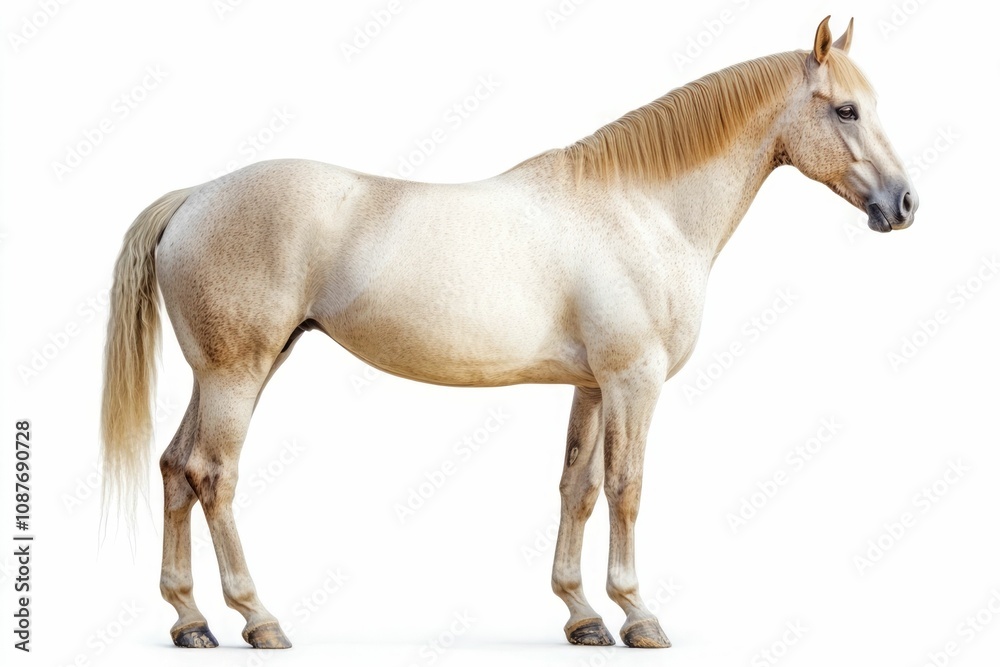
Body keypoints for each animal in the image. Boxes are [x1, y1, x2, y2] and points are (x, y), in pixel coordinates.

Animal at [100, 16, 917, 650]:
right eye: (846, 110)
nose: (904, 204)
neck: (639, 210)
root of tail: (194, 198)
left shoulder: (594, 384)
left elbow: (576, 488)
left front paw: (583, 616)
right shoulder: (634, 380)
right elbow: (627, 487)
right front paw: (639, 615)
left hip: (231, 371)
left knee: (175, 468)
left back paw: (191, 622)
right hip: (237, 373)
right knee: (213, 474)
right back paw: (258, 618)